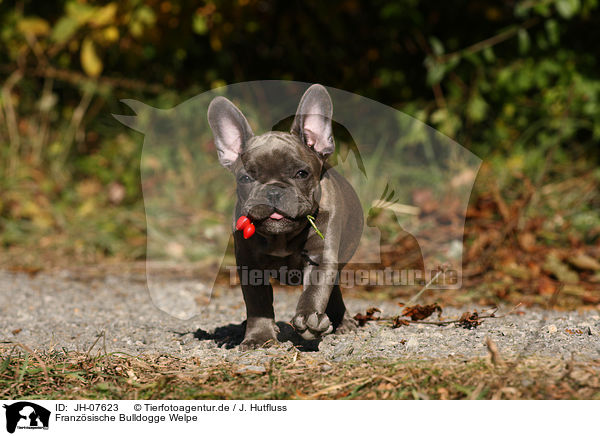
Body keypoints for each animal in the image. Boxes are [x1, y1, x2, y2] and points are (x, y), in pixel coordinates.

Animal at [209, 84, 364, 350]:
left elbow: (315, 290)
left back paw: (341, 322)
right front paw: (259, 336)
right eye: (246, 178)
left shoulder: (320, 257)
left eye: (301, 173)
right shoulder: (249, 264)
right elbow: (257, 302)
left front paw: (310, 319)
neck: (281, 236)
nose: (273, 190)